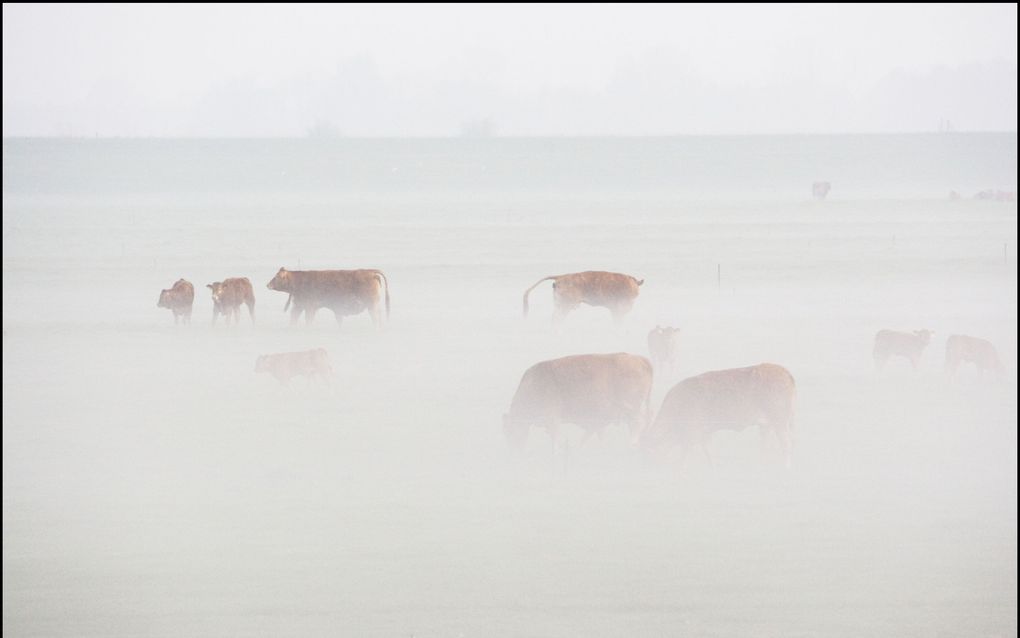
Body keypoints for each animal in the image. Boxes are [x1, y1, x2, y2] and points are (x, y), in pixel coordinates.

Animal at [501, 353, 652, 453]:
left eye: (510, 431)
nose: (512, 451)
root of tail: (640, 359)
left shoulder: (552, 417)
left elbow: (556, 438)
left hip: (631, 408)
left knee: (637, 422)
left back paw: (632, 444)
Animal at [636, 363, 795, 467]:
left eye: (645, 452)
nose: (643, 467)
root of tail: (785, 373)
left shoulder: (693, 431)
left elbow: (686, 450)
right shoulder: (704, 432)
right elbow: (706, 449)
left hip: (780, 422)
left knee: (786, 445)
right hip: (766, 425)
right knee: (765, 445)